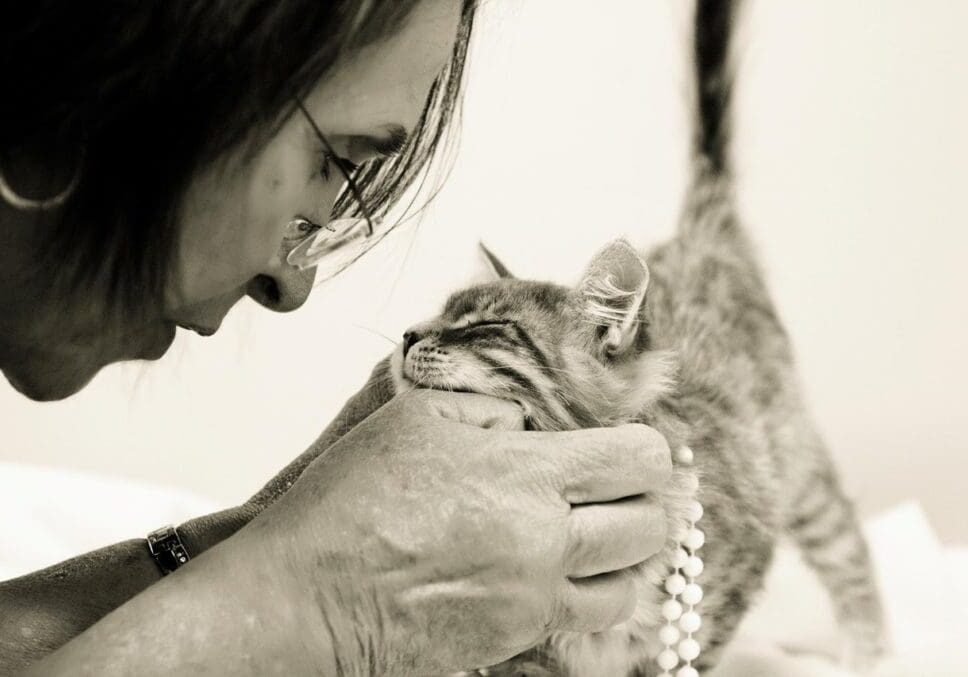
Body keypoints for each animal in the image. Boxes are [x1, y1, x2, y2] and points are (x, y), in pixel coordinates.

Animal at [380, 2, 884, 672]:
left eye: (485, 326)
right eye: (438, 312)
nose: (408, 335)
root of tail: (700, 237)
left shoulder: (724, 585)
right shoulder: (520, 643)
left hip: (795, 468)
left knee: (847, 548)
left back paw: (874, 655)